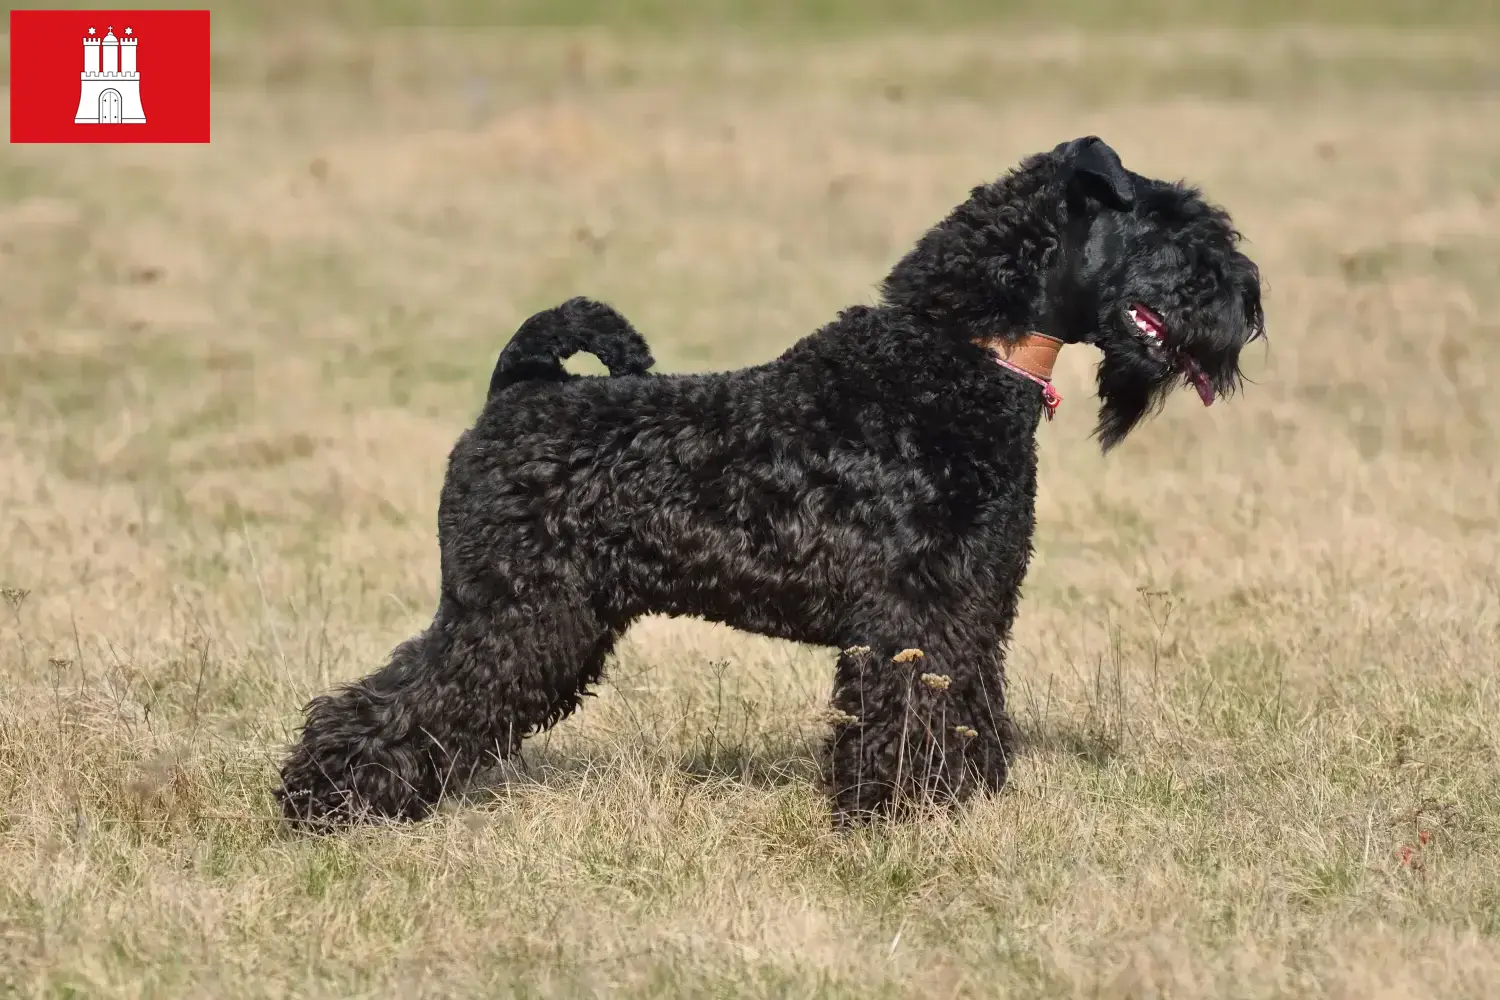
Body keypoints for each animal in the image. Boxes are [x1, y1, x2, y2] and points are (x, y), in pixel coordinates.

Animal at [276, 137, 1260, 833]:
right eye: (1176, 229)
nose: (1249, 303)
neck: (958, 359)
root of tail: (519, 388)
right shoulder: (912, 614)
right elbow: (907, 714)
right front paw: (896, 816)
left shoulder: (972, 607)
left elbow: (968, 704)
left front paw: (962, 804)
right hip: (512, 614)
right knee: (398, 698)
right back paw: (325, 801)